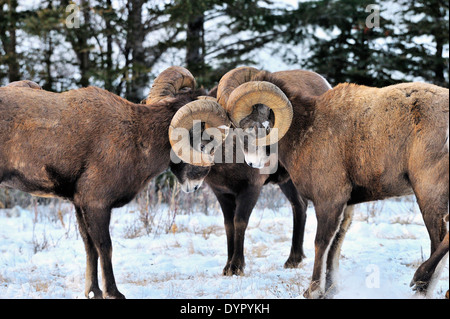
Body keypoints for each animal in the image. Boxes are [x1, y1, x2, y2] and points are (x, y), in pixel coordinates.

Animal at [0, 66, 230, 298]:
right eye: (208, 139)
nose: (195, 184)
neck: (138, 137)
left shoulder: (80, 205)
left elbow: (90, 247)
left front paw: (93, 291)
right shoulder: (97, 204)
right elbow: (104, 247)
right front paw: (113, 292)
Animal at [167, 67, 332, 276]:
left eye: (201, 144)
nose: (189, 186)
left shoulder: (251, 189)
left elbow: (240, 222)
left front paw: (237, 267)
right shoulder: (222, 193)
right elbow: (228, 225)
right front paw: (227, 268)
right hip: (287, 182)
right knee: (299, 206)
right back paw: (293, 260)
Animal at [216, 68, 448, 300]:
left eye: (251, 127)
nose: (252, 163)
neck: (305, 131)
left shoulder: (329, 201)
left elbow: (321, 243)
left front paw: (312, 290)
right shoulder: (344, 207)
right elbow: (335, 245)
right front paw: (329, 289)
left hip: (428, 193)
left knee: (439, 240)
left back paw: (420, 282)